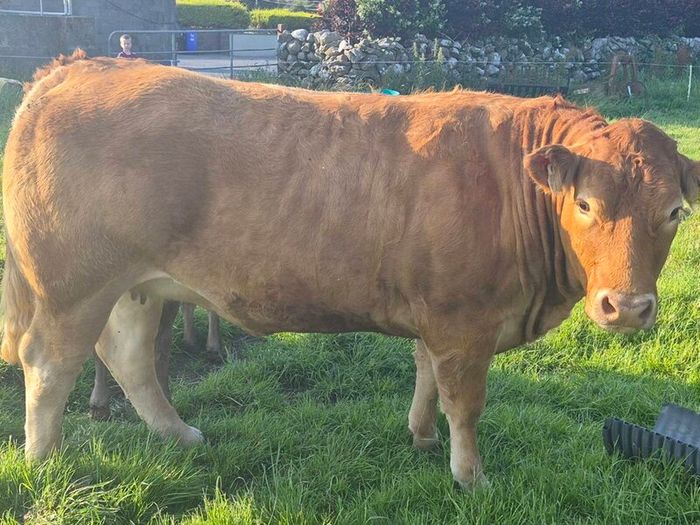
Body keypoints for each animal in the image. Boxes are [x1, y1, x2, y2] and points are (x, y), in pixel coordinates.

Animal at [1, 52, 698, 488]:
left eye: (675, 211)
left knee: (129, 358)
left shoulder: (436, 317)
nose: (627, 307)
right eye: (585, 204)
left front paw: (422, 438)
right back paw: (44, 462)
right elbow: (465, 403)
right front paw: (471, 476)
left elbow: (426, 378)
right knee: (51, 364)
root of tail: (78, 68)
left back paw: (179, 436)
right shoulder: (464, 323)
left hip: (138, 289)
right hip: (70, 287)